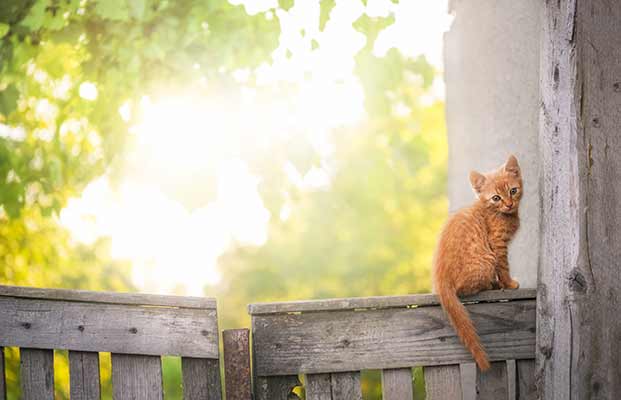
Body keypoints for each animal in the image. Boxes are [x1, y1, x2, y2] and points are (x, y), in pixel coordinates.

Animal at [432, 155, 524, 370]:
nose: (509, 204)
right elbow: (504, 266)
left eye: (513, 191)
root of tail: (441, 279)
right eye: (496, 198)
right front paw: (509, 283)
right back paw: (492, 284)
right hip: (486, 259)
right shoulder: (497, 244)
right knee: (466, 288)